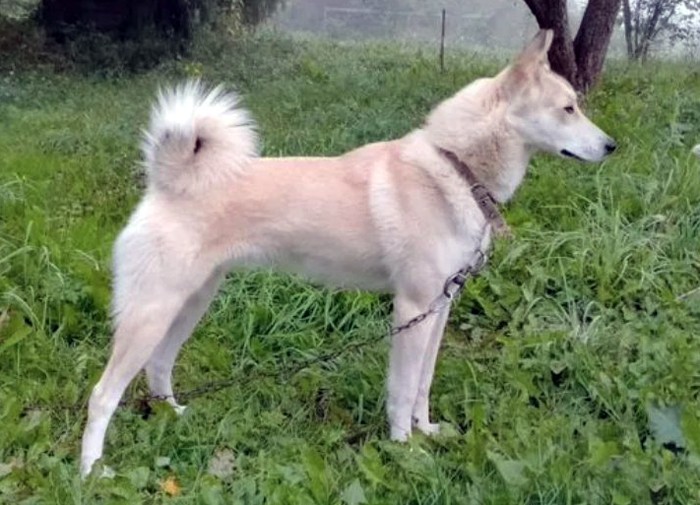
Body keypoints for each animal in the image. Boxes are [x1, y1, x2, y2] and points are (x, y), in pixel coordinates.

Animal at [80, 29, 616, 476]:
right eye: (569, 108)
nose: (612, 146)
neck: (455, 167)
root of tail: (167, 181)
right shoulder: (412, 310)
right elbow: (402, 389)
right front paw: (404, 449)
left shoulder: (439, 309)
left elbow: (423, 385)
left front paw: (426, 431)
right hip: (153, 312)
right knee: (102, 394)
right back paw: (91, 472)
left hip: (190, 304)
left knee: (158, 366)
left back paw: (173, 415)